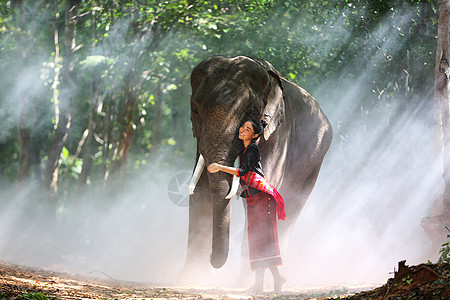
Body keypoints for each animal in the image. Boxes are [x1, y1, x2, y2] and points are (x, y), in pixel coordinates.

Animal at [178, 55, 330, 284]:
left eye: (248, 113)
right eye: (195, 111)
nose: (213, 260)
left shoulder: (278, 135)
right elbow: (201, 191)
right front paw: (190, 278)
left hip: (315, 161)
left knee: (291, 207)